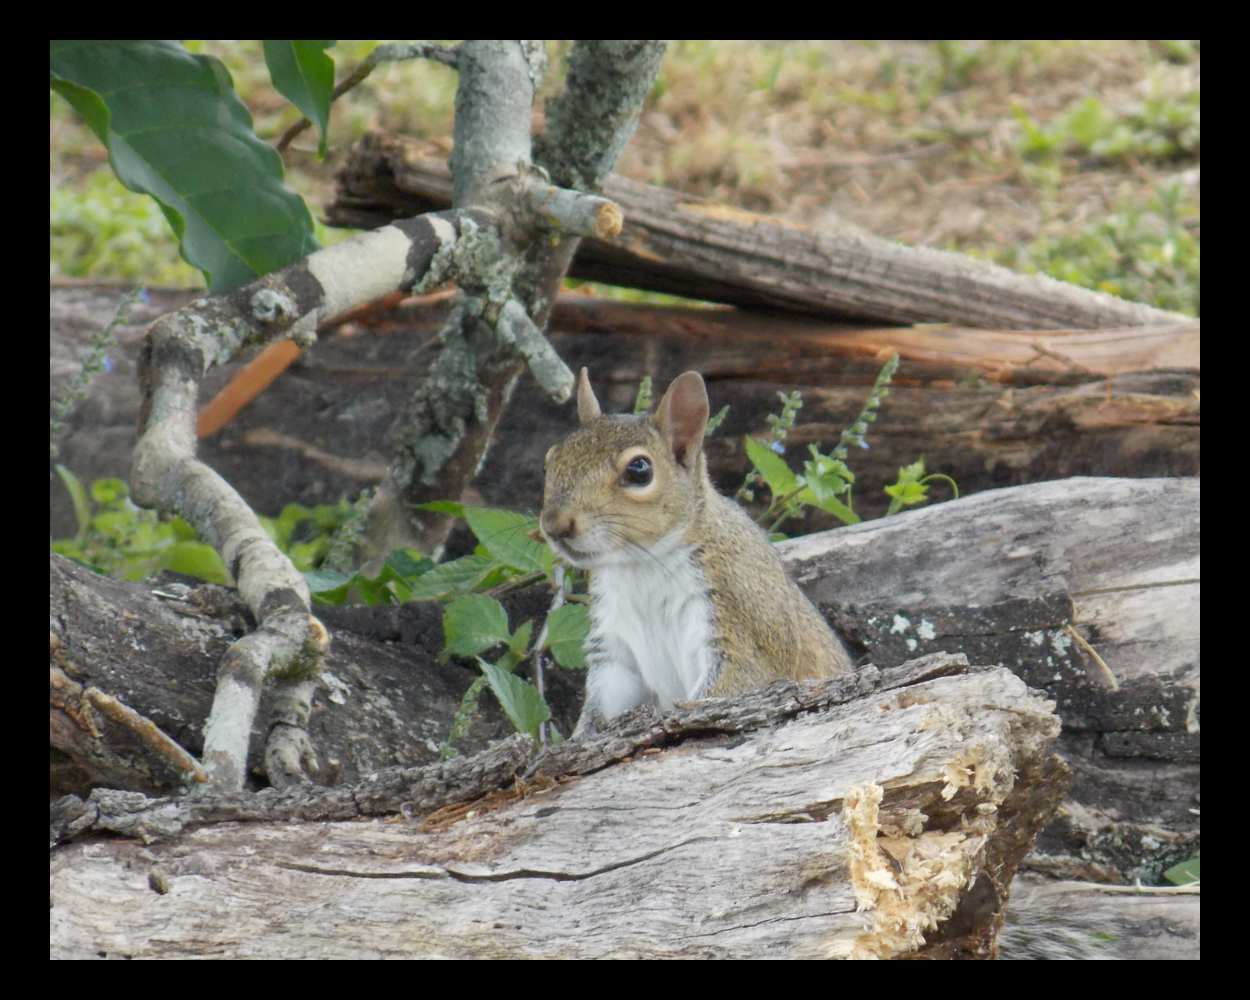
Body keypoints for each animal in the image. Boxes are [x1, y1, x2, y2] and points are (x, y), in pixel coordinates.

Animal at [540, 368, 853, 737]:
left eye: (639, 470)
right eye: (551, 459)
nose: (555, 525)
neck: (641, 566)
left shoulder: (738, 621)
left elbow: (728, 688)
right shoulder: (616, 648)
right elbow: (604, 703)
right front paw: (579, 738)